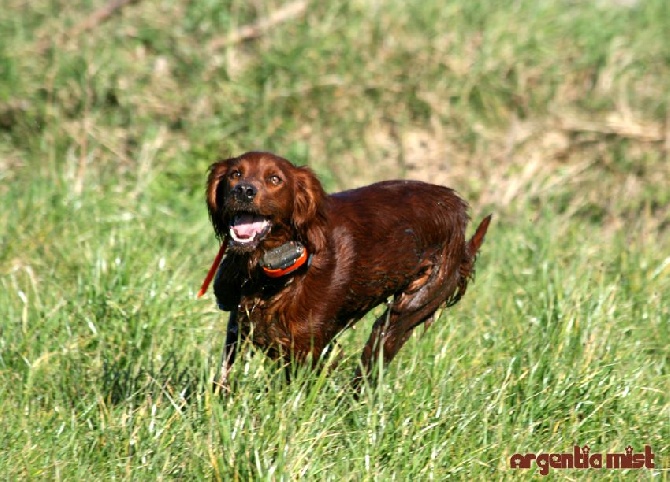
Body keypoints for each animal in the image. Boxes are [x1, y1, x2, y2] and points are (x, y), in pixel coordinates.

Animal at [202, 151, 490, 392]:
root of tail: (457, 206)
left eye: (275, 179)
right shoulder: (239, 324)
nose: (244, 190)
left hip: (409, 307)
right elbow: (224, 375)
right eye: (235, 174)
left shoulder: (309, 348)